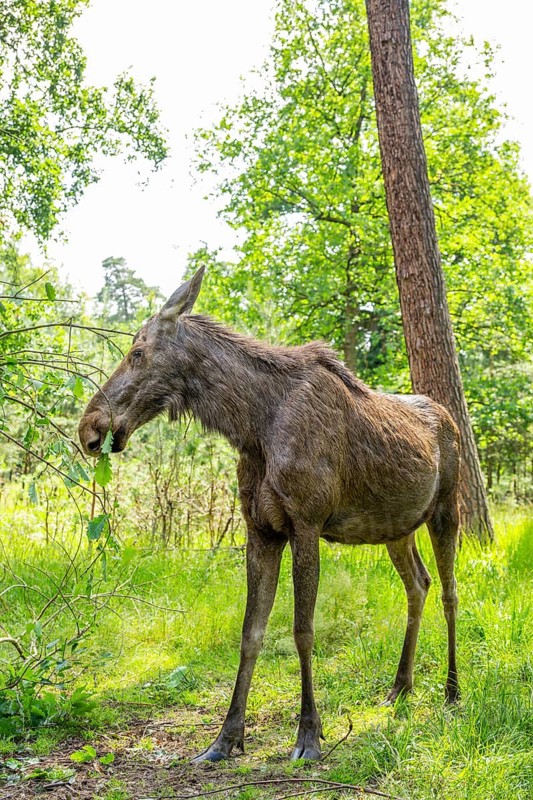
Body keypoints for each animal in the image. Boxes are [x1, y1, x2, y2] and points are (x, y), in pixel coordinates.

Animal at [79, 267, 460, 762]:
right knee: (419, 584)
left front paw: (309, 735)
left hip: (446, 508)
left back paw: (452, 691)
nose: (89, 428)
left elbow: (302, 629)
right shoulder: (260, 529)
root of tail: (448, 417)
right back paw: (400, 686)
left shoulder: (307, 524)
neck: (250, 426)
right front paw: (225, 739)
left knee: (450, 591)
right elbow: (251, 632)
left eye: (137, 352)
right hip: (396, 527)